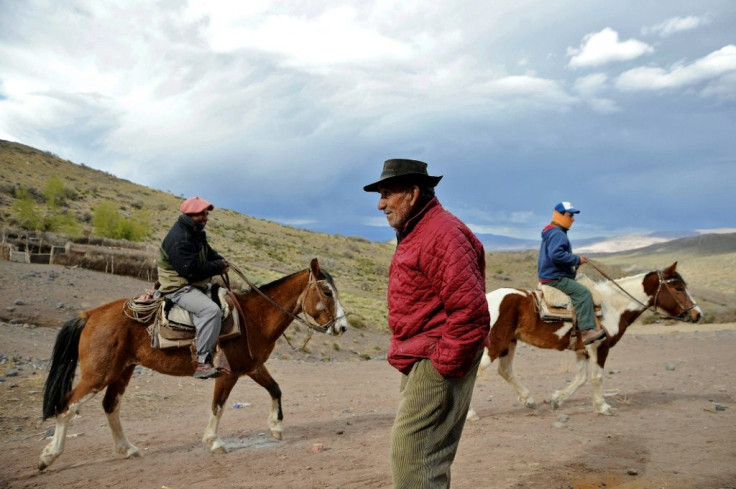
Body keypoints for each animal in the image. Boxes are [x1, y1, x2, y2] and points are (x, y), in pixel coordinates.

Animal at [38, 258, 350, 470]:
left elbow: (275, 389)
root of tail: (91, 314)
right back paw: (48, 457)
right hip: (98, 374)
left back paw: (128, 449)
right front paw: (214, 441)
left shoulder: (252, 367)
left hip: (122, 371)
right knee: (67, 406)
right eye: (327, 292)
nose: (343, 327)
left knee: (110, 406)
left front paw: (276, 426)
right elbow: (218, 405)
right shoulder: (227, 373)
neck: (253, 317)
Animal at [468, 262, 704, 418]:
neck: (611, 306)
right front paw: (602, 406)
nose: (697, 314)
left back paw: (529, 400)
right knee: (477, 371)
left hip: (509, 342)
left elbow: (581, 378)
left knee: (505, 370)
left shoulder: (582, 350)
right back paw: (470, 413)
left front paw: (556, 400)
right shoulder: (600, 346)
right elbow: (596, 377)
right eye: (678, 288)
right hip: (495, 343)